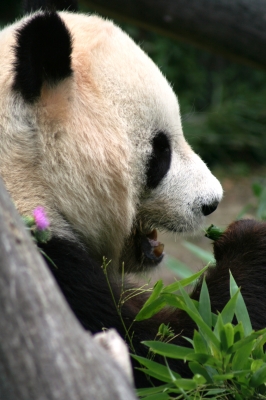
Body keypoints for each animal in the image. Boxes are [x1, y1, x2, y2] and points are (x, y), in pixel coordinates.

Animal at [0, 0, 266, 388]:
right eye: (161, 151)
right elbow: (170, 353)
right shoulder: (47, 268)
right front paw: (249, 246)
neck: (27, 173)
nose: (211, 203)